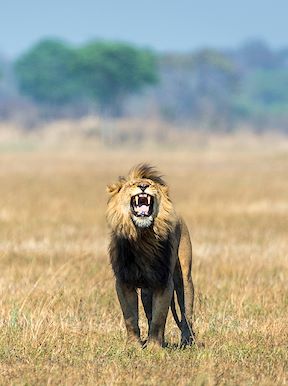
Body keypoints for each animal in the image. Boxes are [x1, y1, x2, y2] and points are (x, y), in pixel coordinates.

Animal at [106, 163, 196, 346]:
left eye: (151, 184)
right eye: (131, 185)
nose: (143, 186)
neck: (142, 236)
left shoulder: (164, 281)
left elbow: (159, 317)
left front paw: (154, 346)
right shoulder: (124, 281)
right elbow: (130, 317)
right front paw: (134, 345)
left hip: (184, 277)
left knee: (186, 311)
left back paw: (186, 341)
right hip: (147, 290)